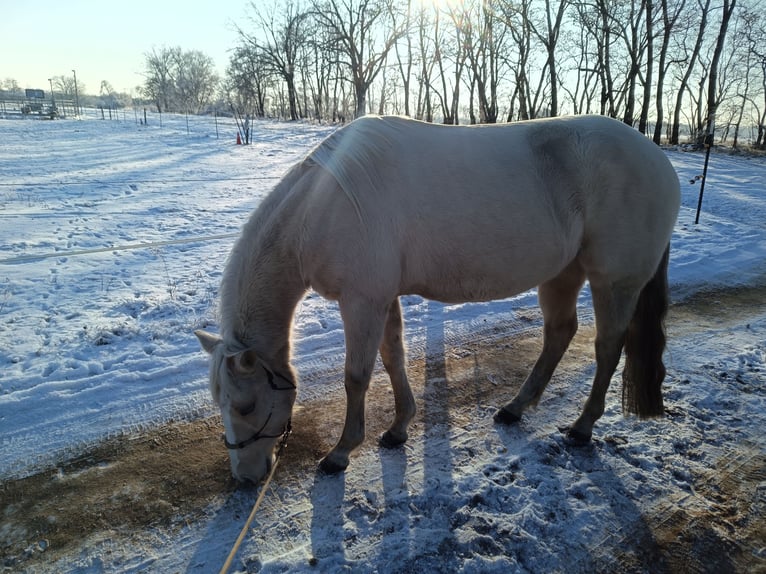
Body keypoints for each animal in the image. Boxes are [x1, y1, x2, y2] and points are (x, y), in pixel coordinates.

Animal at [195, 114, 681, 484]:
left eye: (246, 404)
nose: (245, 477)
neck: (323, 208)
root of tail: (660, 162)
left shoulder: (361, 302)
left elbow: (357, 377)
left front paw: (342, 452)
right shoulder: (382, 298)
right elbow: (393, 358)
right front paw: (398, 428)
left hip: (613, 282)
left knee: (607, 349)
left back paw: (582, 427)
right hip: (563, 274)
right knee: (560, 334)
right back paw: (515, 408)